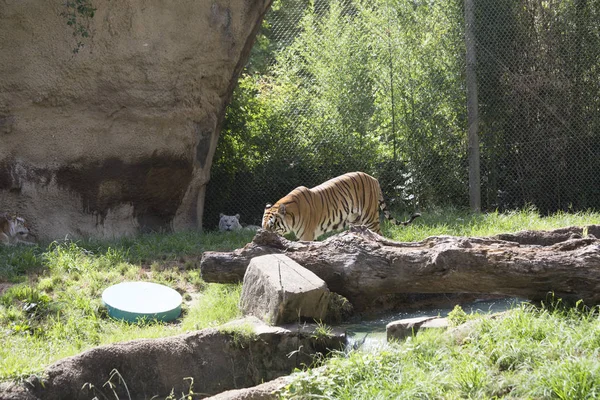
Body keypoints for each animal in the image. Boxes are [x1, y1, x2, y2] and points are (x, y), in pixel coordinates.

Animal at [262, 171, 422, 241]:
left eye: (272, 225)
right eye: (262, 225)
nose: (262, 236)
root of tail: (373, 178)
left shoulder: (306, 236)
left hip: (370, 218)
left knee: (379, 234)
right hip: (356, 220)